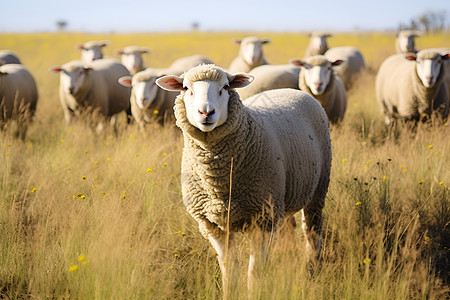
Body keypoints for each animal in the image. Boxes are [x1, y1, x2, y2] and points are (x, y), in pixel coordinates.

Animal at [156, 63, 332, 296]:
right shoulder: (211, 223)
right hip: (280, 196)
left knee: (312, 233)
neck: (219, 183)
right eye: (186, 88)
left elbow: (254, 272)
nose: (206, 112)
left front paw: (254, 293)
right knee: (288, 227)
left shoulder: (262, 219)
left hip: (317, 189)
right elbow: (229, 269)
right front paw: (229, 293)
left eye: (225, 87)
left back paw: (312, 271)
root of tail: (293, 90)